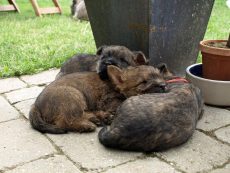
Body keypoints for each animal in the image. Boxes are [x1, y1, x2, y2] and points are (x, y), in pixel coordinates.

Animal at [29, 65, 166, 134]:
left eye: (160, 76)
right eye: (143, 82)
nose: (163, 85)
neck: (115, 87)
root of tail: (35, 105)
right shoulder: (110, 102)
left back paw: (97, 118)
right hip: (73, 96)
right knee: (65, 121)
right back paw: (87, 125)